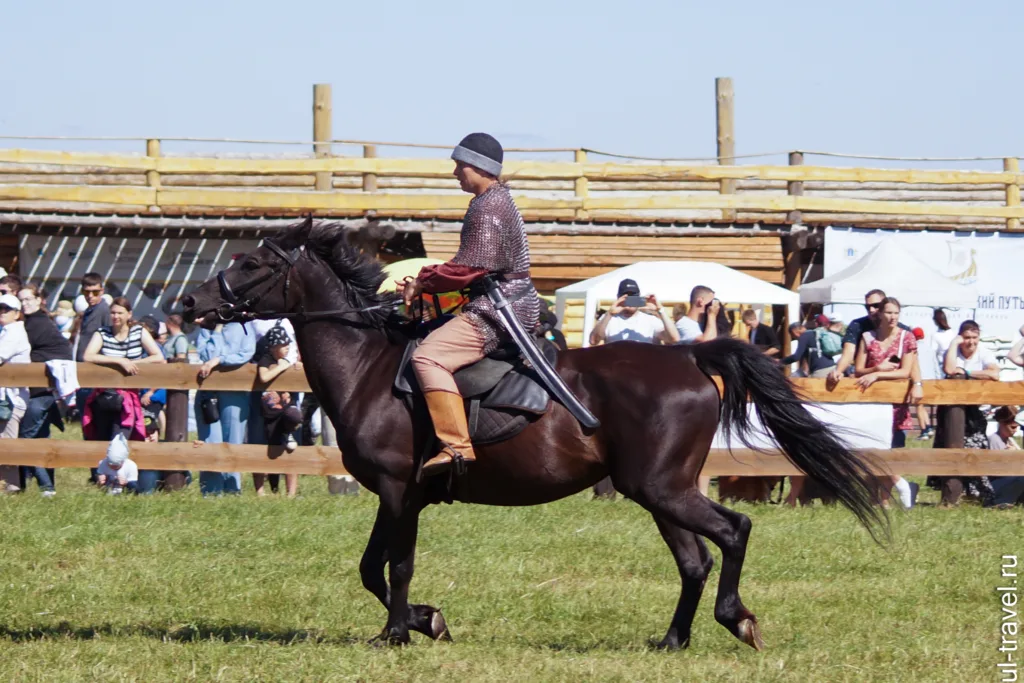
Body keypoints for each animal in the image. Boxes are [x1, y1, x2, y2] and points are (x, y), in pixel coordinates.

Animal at [184, 219, 888, 651]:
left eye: (251, 263)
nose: (190, 305)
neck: (370, 368)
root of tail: (689, 357)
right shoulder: (394, 496)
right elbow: (369, 567)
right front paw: (424, 622)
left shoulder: (400, 491)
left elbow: (395, 564)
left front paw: (401, 632)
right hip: (659, 491)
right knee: (696, 559)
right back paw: (673, 640)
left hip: (661, 488)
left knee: (732, 532)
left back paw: (736, 619)